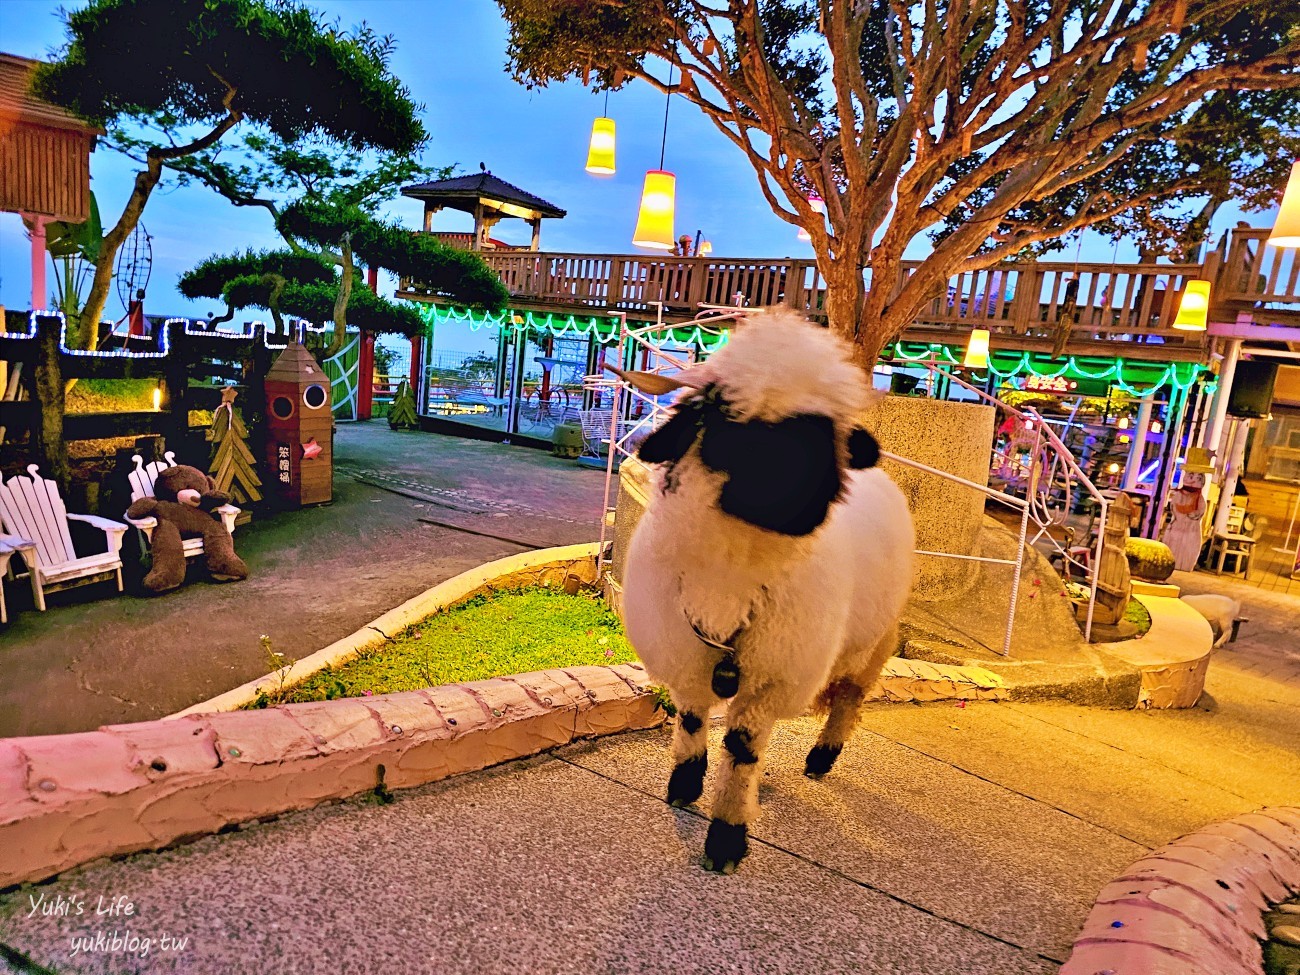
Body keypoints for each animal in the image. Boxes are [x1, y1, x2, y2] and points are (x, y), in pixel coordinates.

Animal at [618, 314, 915, 878]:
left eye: (829, 431)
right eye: (732, 421)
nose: (818, 496)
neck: (731, 575)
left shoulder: (769, 677)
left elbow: (741, 750)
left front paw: (726, 836)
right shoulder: (686, 655)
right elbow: (693, 719)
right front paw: (685, 784)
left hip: (876, 640)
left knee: (850, 698)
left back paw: (822, 757)